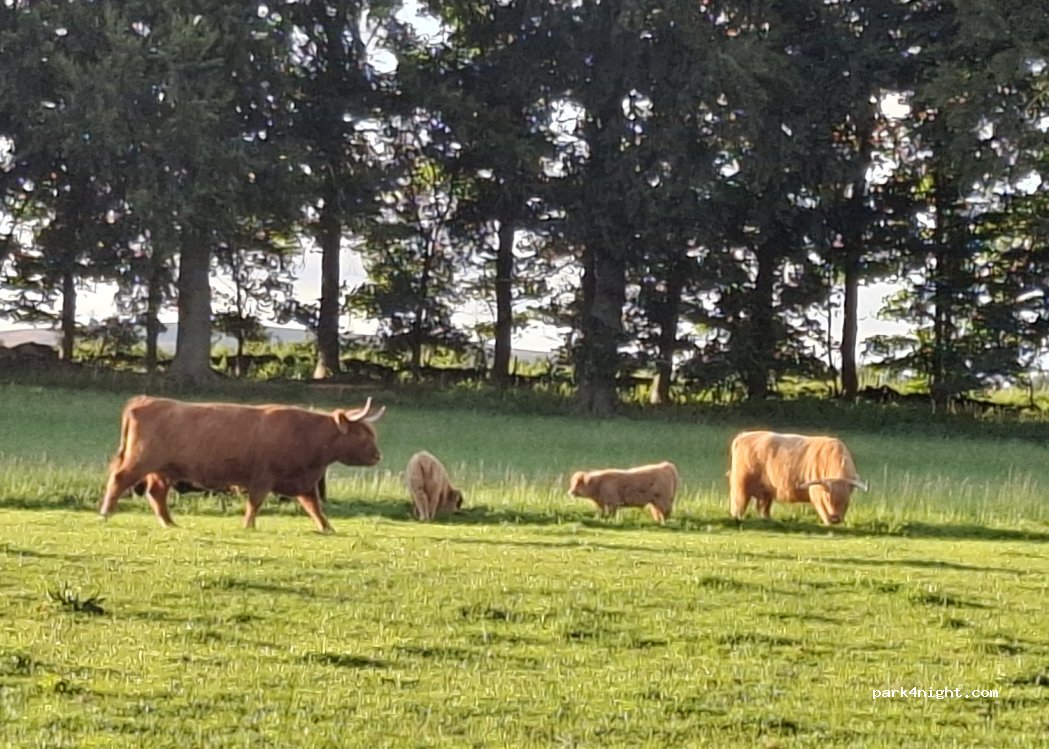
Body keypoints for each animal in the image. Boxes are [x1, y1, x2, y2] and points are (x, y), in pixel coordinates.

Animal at [100, 395, 385, 532]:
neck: (307, 434)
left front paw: (328, 528)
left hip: (163, 470)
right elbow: (255, 503)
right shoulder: (263, 477)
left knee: (156, 493)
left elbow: (315, 507)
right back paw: (106, 513)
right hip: (140, 460)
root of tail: (143, 400)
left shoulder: (303, 483)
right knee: (119, 479)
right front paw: (249, 525)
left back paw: (169, 523)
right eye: (362, 434)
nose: (377, 456)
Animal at [728, 430, 867, 525]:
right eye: (827, 497)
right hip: (740, 486)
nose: (835, 518)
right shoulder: (816, 493)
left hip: (766, 492)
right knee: (738, 506)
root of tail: (743, 435)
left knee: (763, 508)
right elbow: (823, 512)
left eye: (846, 498)